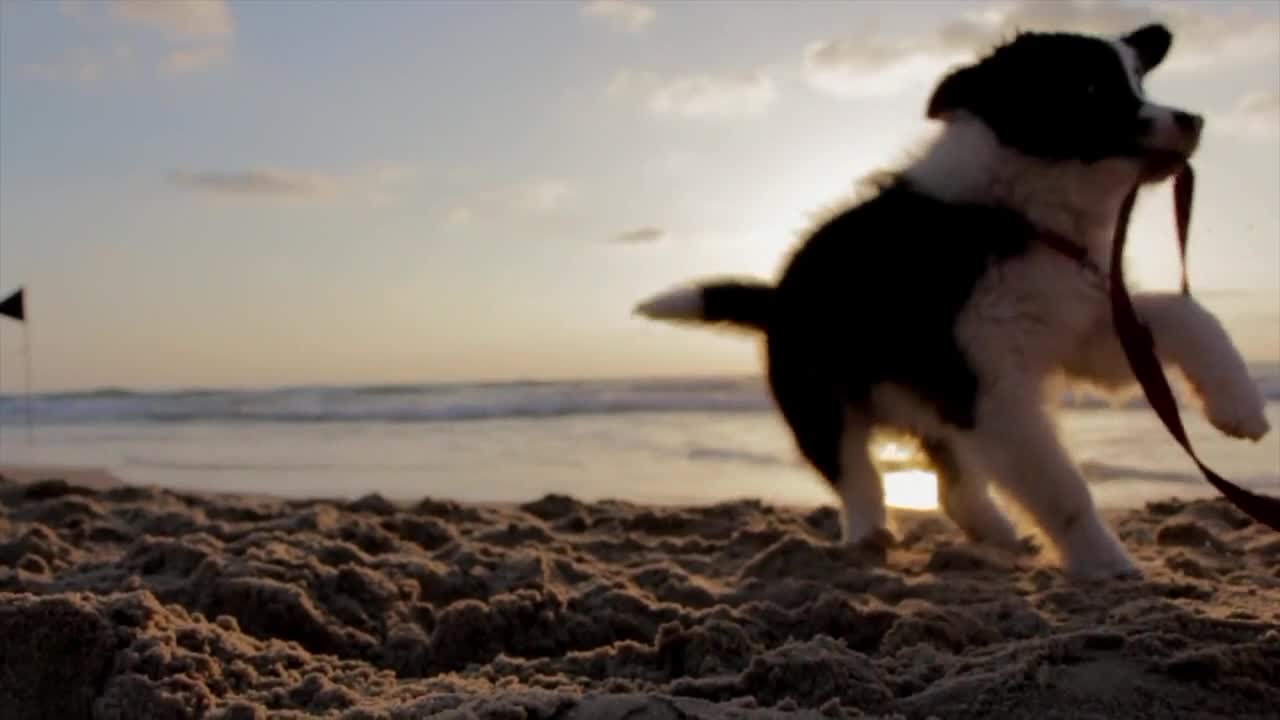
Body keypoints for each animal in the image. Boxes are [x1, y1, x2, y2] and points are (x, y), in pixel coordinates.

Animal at [634, 25, 1264, 579]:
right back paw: (870, 536)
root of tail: (779, 297)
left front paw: (1240, 406)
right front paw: (1103, 562)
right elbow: (1061, 487)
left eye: (1139, 82)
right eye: (1088, 88)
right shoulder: (991, 385)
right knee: (859, 476)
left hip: (934, 403)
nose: (1193, 120)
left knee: (952, 486)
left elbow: (1187, 313)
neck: (1018, 214)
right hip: (821, 401)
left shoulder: (1082, 329)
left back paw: (998, 533)